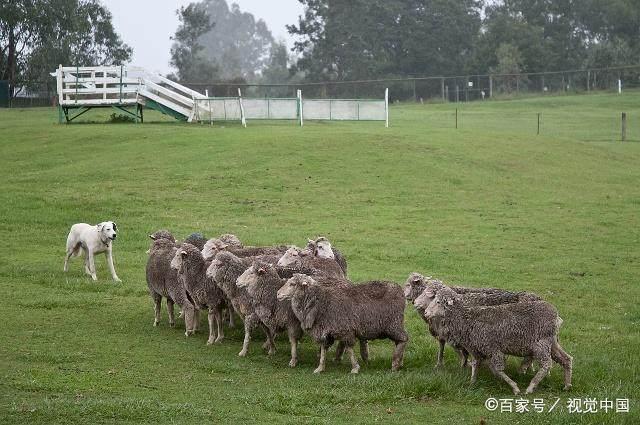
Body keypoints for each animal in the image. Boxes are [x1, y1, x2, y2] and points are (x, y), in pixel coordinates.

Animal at [278, 274, 408, 372]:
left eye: (292, 284)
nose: (278, 294)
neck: (320, 302)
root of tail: (400, 290)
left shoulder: (345, 329)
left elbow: (349, 349)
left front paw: (355, 368)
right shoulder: (324, 330)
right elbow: (323, 349)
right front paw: (320, 368)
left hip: (393, 323)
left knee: (404, 339)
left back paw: (395, 363)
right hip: (395, 323)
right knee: (400, 341)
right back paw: (400, 361)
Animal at [422, 284, 572, 394]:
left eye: (438, 301)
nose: (426, 313)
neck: (466, 318)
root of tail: (555, 314)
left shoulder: (493, 348)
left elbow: (498, 369)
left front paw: (514, 388)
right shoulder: (476, 349)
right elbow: (476, 365)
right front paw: (472, 382)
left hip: (541, 344)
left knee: (546, 364)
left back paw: (531, 386)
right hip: (552, 343)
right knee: (566, 359)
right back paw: (567, 385)